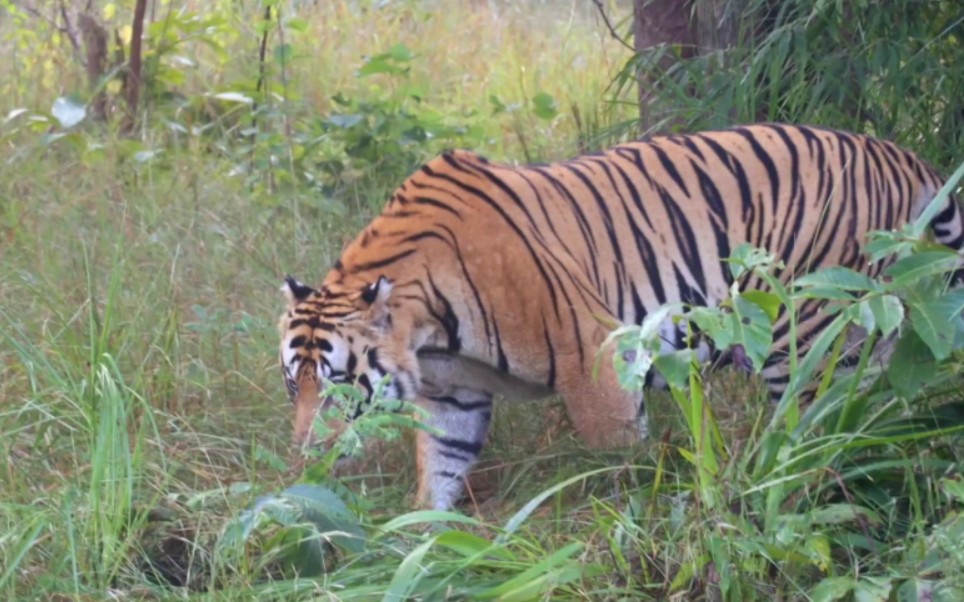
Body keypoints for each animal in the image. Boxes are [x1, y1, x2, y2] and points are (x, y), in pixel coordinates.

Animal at [278, 124, 964, 508]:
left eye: (339, 389)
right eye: (294, 388)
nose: (304, 457)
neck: (431, 336)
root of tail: (908, 159)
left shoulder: (593, 354)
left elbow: (616, 454)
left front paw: (630, 508)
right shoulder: (454, 395)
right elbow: (440, 469)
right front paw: (418, 544)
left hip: (817, 329)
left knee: (838, 422)